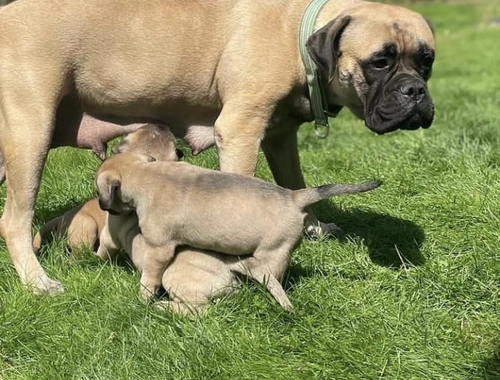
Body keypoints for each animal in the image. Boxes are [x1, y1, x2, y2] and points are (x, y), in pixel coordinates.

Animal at [0, 0, 434, 294]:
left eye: (426, 60)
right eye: (380, 62)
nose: (415, 92)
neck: (295, 30)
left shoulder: (280, 137)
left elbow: (295, 183)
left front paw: (312, 227)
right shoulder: (241, 129)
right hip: (30, 134)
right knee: (15, 219)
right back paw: (37, 280)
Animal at [95, 153, 380, 310]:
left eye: (98, 191)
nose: (100, 204)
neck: (146, 173)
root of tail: (293, 197)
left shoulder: (159, 248)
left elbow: (150, 277)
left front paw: (144, 298)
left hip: (272, 252)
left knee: (268, 277)